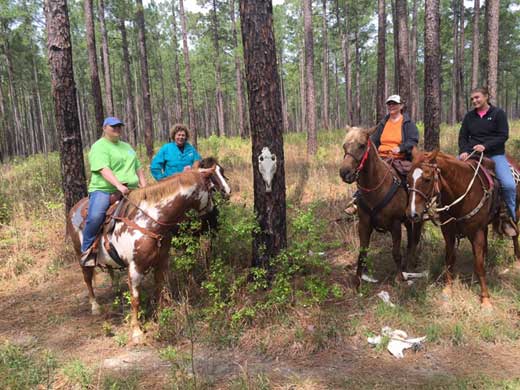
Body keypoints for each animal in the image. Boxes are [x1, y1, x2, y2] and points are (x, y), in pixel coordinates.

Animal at [66, 158, 230, 342]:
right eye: (211, 186)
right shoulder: (135, 268)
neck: (149, 221)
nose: (226, 193)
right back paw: (95, 306)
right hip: (80, 255)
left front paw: (160, 316)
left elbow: (159, 290)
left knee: (110, 272)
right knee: (87, 279)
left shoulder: (161, 263)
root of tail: (75, 207)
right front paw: (137, 332)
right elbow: (135, 299)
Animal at [338, 126, 422, 284]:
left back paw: (412, 262)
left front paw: (399, 277)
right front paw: (357, 282)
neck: (376, 189)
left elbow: (396, 253)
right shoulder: (364, 225)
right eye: (344, 146)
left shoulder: (395, 224)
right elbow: (362, 254)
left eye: (362, 145)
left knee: (415, 237)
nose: (344, 173)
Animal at [406, 148, 520, 306]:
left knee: (515, 235)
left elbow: (479, 265)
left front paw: (485, 299)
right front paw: (448, 289)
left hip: (516, 212)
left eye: (427, 179)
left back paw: (517, 260)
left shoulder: (476, 233)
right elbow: (449, 259)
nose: (412, 214)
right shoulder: (448, 232)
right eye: (408, 179)